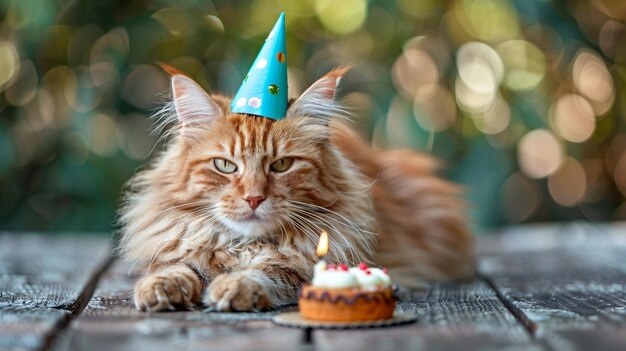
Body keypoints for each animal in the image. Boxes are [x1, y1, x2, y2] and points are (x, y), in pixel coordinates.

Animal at [117, 64, 470, 312]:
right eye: (225, 166)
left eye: (282, 165)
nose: (254, 198)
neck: (246, 245)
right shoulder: (180, 246)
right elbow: (179, 266)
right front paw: (161, 288)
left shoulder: (308, 267)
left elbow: (269, 271)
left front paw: (236, 286)